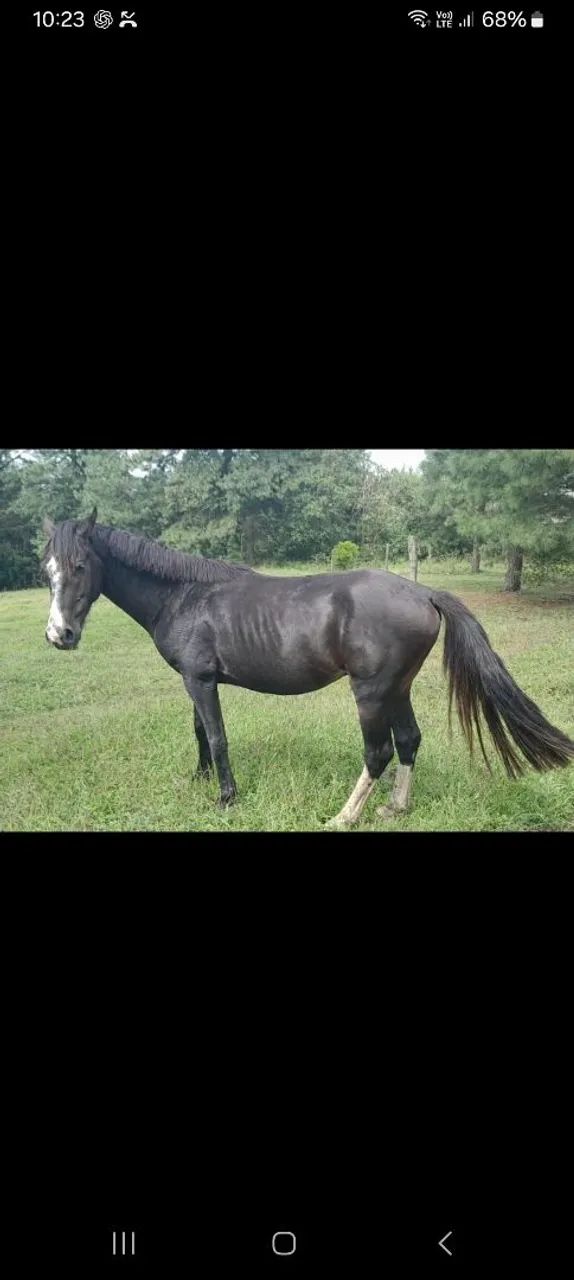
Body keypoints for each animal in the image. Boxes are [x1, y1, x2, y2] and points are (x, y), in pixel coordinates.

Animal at [42, 509, 574, 828]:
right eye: (48, 569)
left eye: (80, 566)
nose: (58, 635)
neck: (186, 595)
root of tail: (423, 593)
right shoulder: (196, 679)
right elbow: (199, 733)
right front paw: (199, 780)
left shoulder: (200, 680)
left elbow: (216, 736)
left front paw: (226, 797)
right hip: (398, 688)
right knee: (408, 741)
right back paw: (395, 807)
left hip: (372, 692)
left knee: (378, 751)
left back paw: (344, 816)